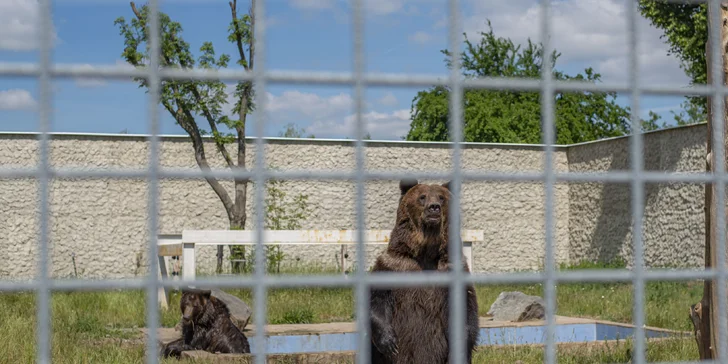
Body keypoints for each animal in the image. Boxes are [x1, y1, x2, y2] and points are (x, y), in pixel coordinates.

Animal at [366, 179, 480, 364]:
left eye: (441, 197)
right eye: (422, 197)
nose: (434, 207)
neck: (426, 252)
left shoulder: (452, 270)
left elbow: (465, 310)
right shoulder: (394, 266)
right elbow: (376, 301)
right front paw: (389, 343)